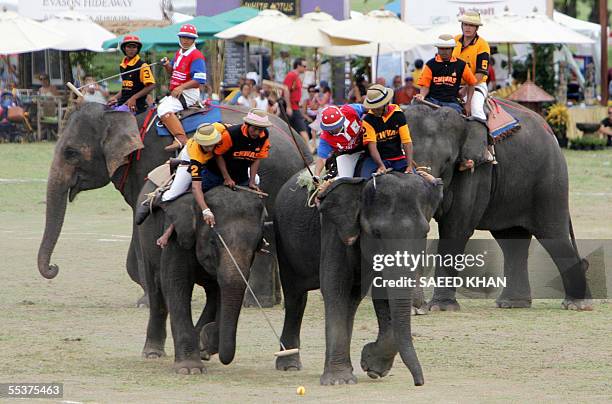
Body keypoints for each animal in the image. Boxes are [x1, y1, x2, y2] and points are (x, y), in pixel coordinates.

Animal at [35, 103, 308, 306]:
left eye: (70, 153)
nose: (54, 267)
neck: (122, 116)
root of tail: (301, 146)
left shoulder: (144, 166)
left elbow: (140, 219)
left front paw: (145, 300)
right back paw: (271, 300)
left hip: (269, 177)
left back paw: (256, 302)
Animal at [274, 170, 442, 386]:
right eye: (376, 233)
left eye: (424, 233)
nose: (418, 382)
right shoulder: (334, 228)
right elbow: (335, 286)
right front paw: (339, 381)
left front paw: (373, 368)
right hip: (284, 241)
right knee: (295, 297)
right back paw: (290, 365)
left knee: (352, 300)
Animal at [406, 102, 592, 310]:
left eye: (448, 160)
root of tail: (550, 131)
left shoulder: (476, 171)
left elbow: (455, 228)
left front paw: (440, 307)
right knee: (511, 239)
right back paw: (513, 303)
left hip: (549, 181)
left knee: (553, 235)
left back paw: (577, 304)